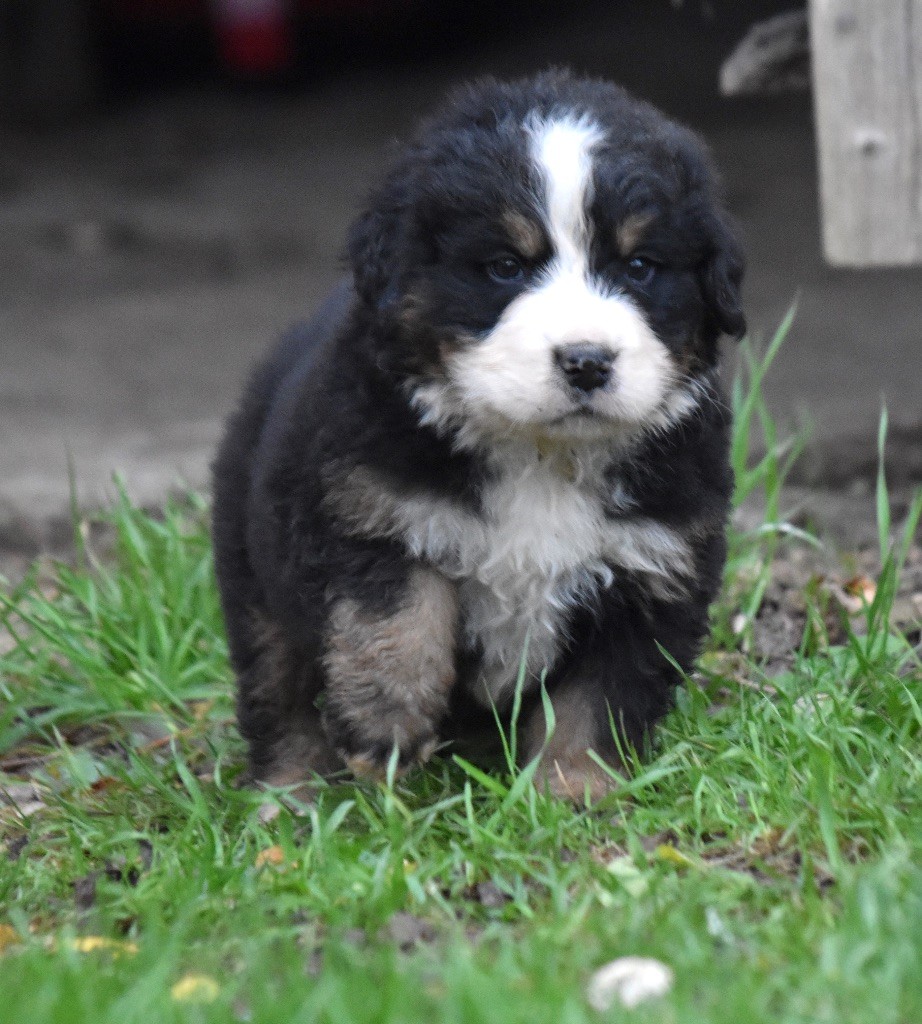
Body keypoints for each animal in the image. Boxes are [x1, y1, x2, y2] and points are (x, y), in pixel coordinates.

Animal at [212, 74, 745, 806]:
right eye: (504, 266)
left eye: (640, 266)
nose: (586, 360)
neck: (541, 455)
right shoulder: (370, 515)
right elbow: (397, 623)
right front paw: (385, 728)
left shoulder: (653, 569)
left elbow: (599, 697)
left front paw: (572, 789)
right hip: (253, 566)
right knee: (276, 685)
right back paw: (291, 790)